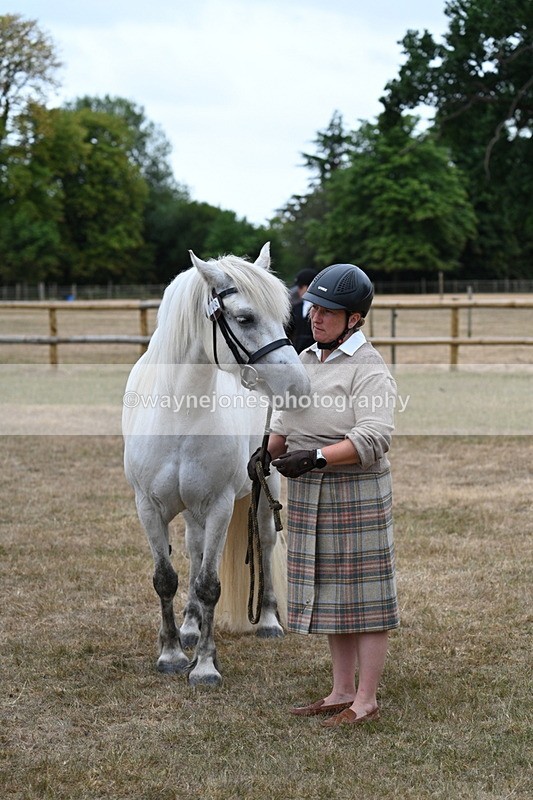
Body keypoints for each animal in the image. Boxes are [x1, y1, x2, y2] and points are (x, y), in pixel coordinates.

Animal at [122, 243, 310, 686]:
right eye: (245, 318)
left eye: (284, 318)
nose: (299, 387)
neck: (178, 412)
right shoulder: (148, 507)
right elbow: (166, 579)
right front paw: (172, 653)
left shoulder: (221, 505)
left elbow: (210, 584)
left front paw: (205, 665)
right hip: (192, 510)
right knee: (193, 548)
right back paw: (190, 626)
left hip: (265, 487)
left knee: (265, 540)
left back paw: (268, 621)